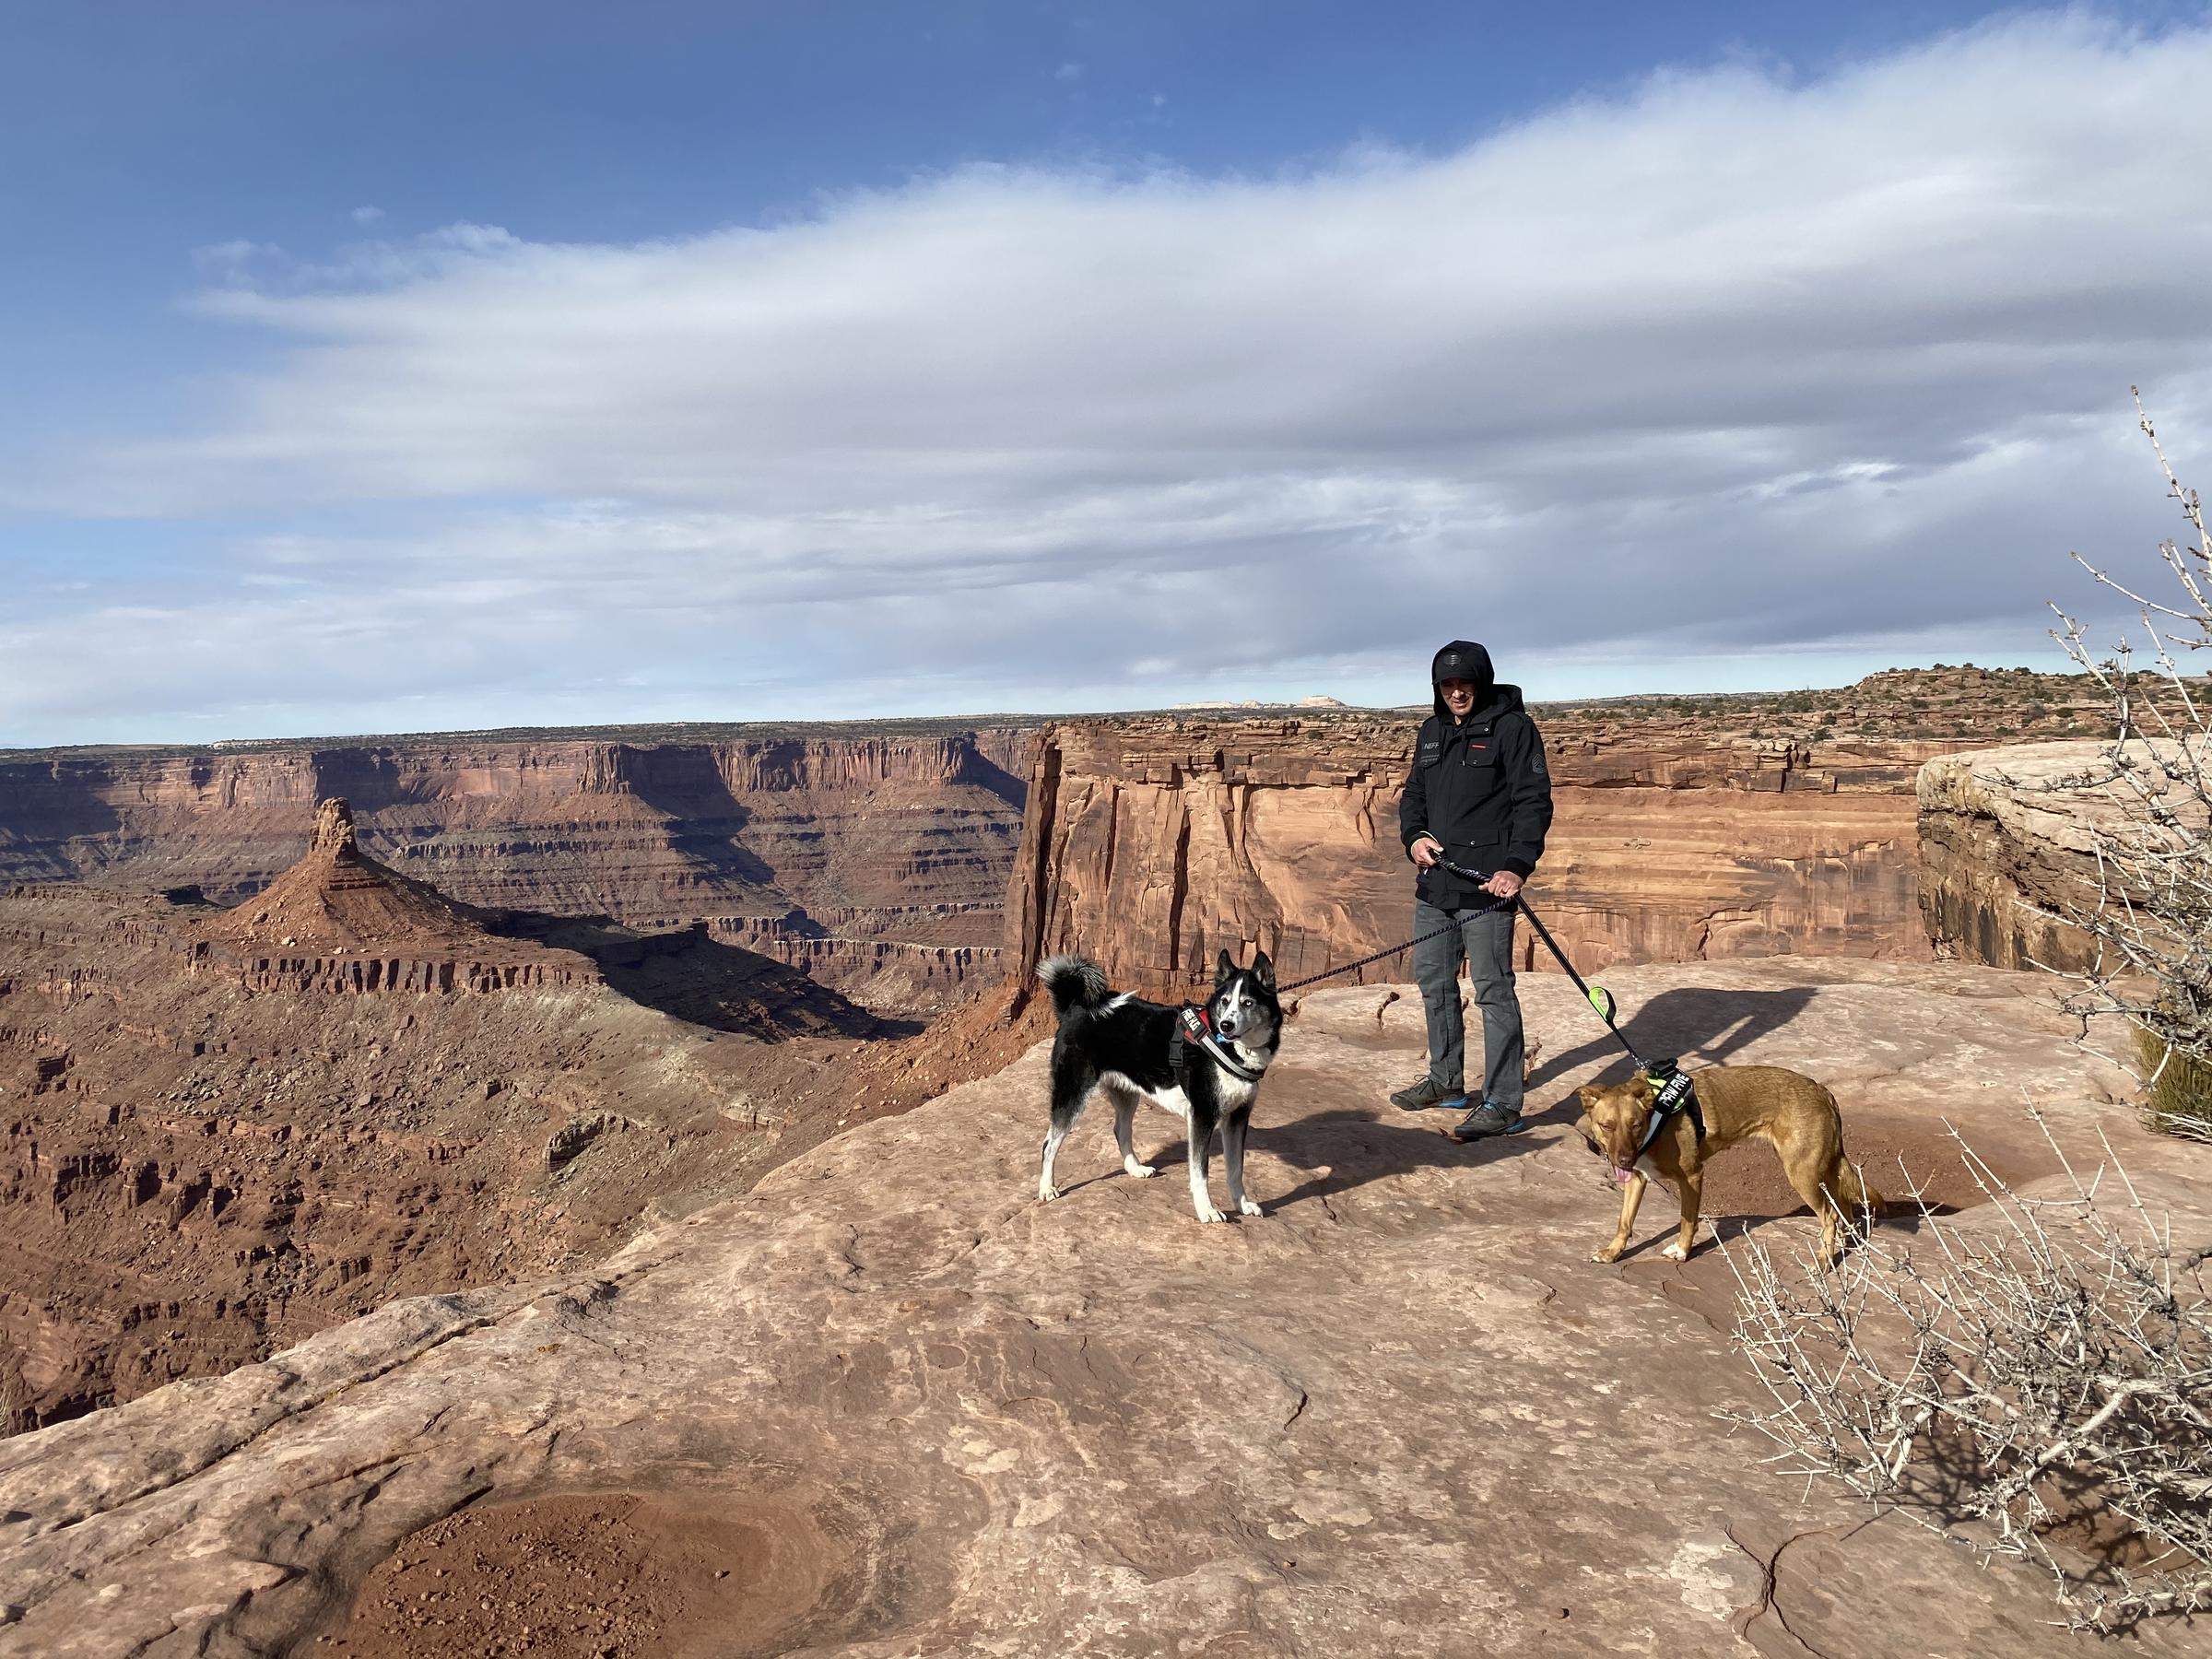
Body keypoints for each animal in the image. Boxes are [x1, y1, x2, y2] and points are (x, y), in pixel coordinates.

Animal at [1040, 955, 1291, 1230]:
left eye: (1248, 1002)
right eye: (1225, 1002)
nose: (1226, 1024)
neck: (1225, 1046)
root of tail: (1074, 1006)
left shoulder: (1237, 1118)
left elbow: (1236, 1169)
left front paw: (1242, 1205)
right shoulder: (1202, 1117)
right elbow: (1200, 1173)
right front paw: (1207, 1210)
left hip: (1127, 1093)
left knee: (1120, 1130)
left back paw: (1135, 1169)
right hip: (1072, 1092)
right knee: (1049, 1144)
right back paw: (1046, 1188)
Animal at [1574, 1070, 1884, 1265]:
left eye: (1635, 1125)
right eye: (1606, 1126)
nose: (1624, 1160)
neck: (1657, 1116)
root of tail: (1821, 1089)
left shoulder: (1692, 1176)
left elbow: (1688, 1221)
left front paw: (1682, 1252)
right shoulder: (1638, 1178)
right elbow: (1624, 1222)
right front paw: (1612, 1253)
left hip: (1802, 1172)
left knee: (1829, 1216)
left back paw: (1824, 1261)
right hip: (1822, 1167)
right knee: (1843, 1206)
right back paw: (1844, 1244)